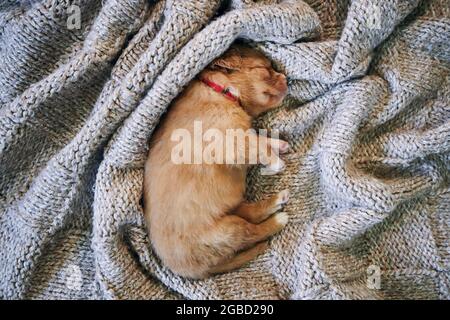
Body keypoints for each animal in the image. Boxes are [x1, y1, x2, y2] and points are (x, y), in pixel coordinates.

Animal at [146, 43, 290, 278]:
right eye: (264, 69)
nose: (286, 77)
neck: (221, 91)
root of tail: (191, 272)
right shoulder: (230, 141)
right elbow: (256, 146)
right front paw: (276, 162)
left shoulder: (240, 134)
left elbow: (258, 139)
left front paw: (279, 145)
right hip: (227, 231)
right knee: (253, 231)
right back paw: (278, 220)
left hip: (230, 213)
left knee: (251, 214)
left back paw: (278, 200)